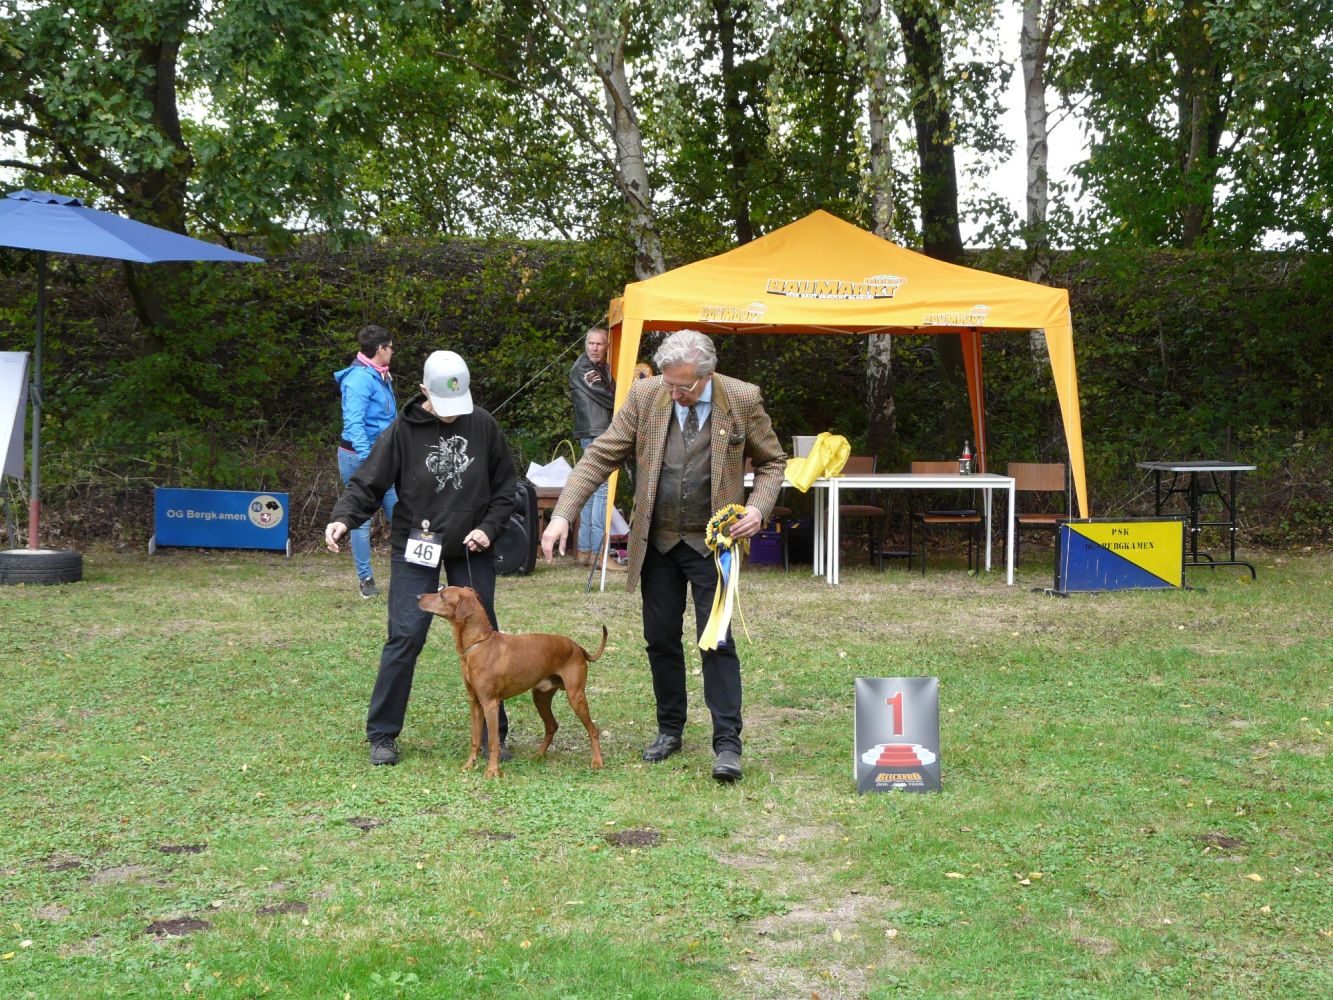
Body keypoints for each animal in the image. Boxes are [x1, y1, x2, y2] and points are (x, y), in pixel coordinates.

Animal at [418, 585, 606, 778]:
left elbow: (493, 741)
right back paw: (538, 755)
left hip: (575, 696)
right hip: (541, 697)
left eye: (442, 595)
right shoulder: (475, 703)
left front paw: (492, 771)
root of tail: (578, 647)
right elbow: (475, 739)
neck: (480, 644)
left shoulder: (490, 704)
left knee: (593, 729)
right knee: (552, 726)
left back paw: (597, 762)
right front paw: (469, 765)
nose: (418, 596)